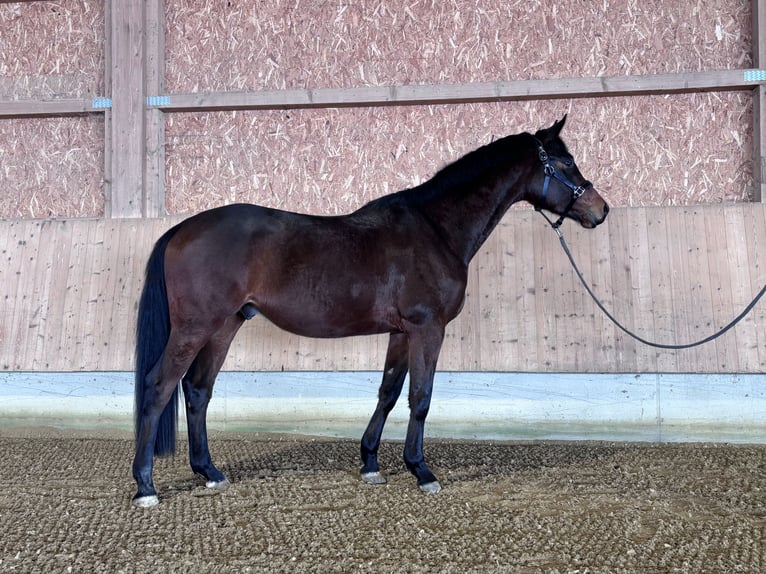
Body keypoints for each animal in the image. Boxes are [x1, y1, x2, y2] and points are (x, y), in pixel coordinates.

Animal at [131, 115, 609, 507]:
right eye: (566, 163)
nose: (600, 210)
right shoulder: (427, 328)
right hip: (195, 327)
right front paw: (421, 470)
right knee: (158, 386)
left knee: (197, 390)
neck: (435, 229)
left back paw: (210, 472)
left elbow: (389, 392)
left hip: (225, 325)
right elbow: (421, 397)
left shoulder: (401, 332)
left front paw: (371, 463)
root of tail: (181, 228)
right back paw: (145, 486)